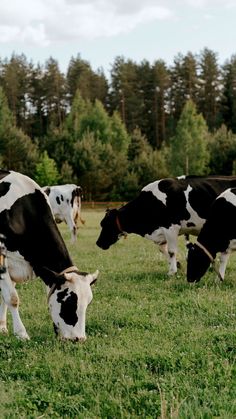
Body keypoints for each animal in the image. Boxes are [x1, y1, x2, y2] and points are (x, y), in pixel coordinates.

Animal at [0, 171, 98, 342]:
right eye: (69, 302)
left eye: (88, 303)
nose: (79, 339)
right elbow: (12, 298)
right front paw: (21, 333)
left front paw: (2, 328)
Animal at [96, 176, 236, 276]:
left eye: (104, 224)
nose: (98, 243)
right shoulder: (161, 232)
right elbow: (163, 250)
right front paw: (176, 265)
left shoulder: (171, 228)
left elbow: (171, 251)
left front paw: (172, 272)